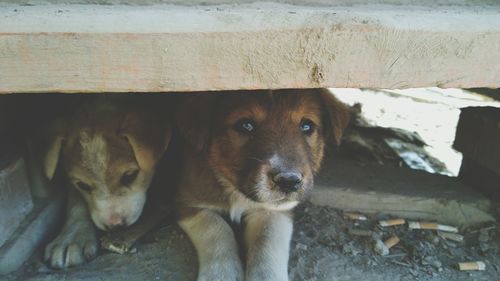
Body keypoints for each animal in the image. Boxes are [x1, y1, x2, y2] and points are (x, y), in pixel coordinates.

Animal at [176, 88, 352, 278]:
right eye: (245, 125)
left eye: (307, 126)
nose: (289, 181)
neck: (236, 190)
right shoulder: (185, 201)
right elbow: (216, 228)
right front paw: (221, 274)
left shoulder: (276, 211)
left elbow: (267, 243)